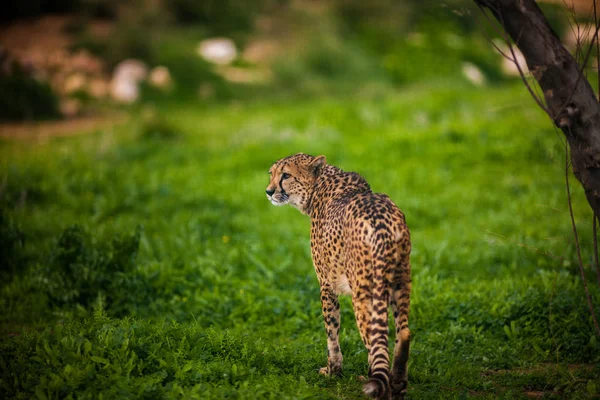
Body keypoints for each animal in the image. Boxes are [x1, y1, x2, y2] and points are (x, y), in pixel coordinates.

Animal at [268, 154, 412, 400]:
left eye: (286, 175)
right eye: (271, 173)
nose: (269, 191)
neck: (318, 186)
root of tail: (383, 224)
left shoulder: (326, 284)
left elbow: (331, 330)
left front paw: (333, 370)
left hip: (364, 294)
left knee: (376, 341)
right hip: (401, 284)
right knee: (403, 334)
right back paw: (397, 384)